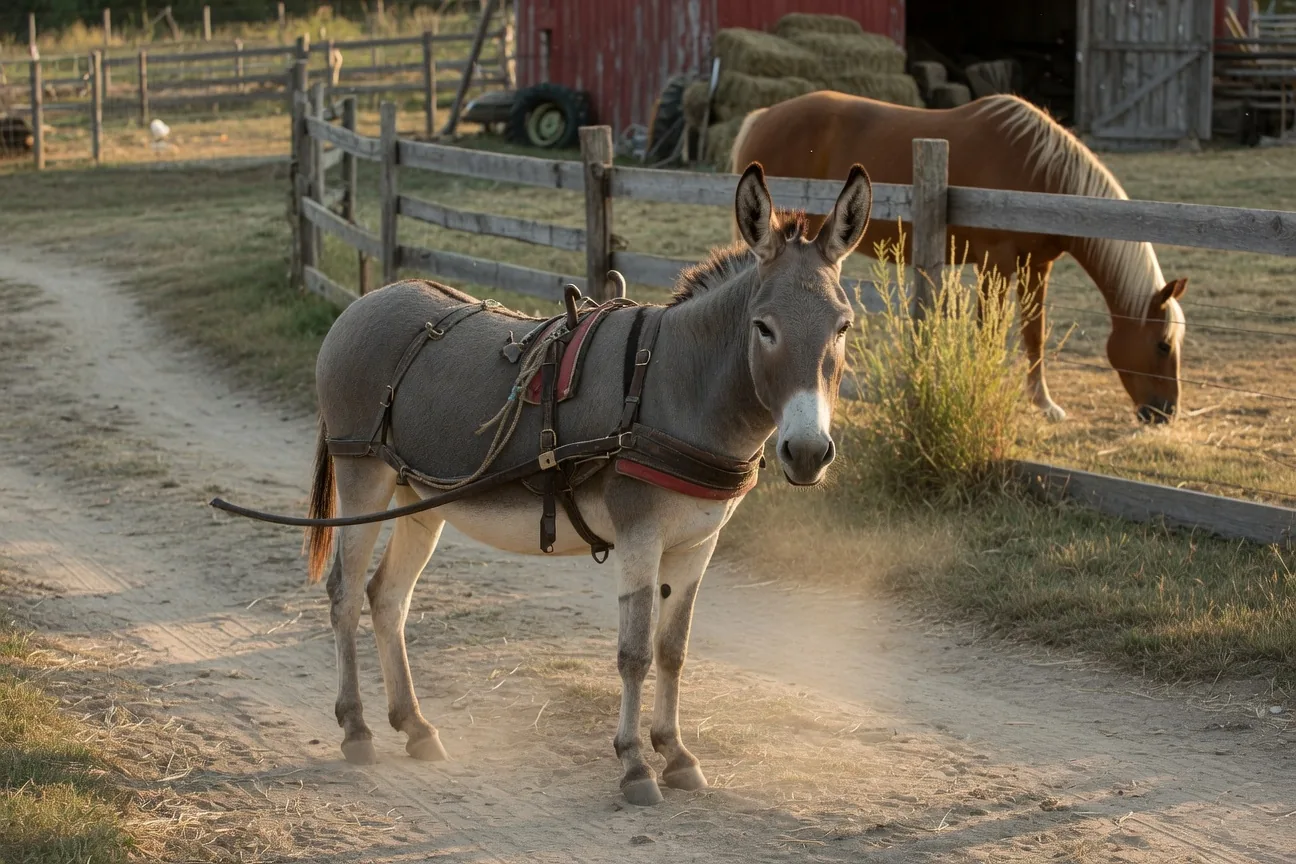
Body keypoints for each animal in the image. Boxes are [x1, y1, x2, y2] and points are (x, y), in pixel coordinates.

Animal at [300, 163, 873, 806]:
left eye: (843, 327)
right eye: (764, 328)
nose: (808, 453)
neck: (676, 387)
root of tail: (366, 301)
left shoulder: (698, 545)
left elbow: (673, 651)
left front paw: (676, 754)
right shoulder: (639, 535)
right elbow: (634, 653)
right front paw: (634, 765)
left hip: (418, 500)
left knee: (387, 597)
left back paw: (416, 727)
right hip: (363, 482)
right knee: (345, 593)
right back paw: (357, 729)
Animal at [731, 91, 1188, 424]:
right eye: (1163, 345)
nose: (1165, 413)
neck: (1041, 173)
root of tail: (762, 116)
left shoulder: (1036, 265)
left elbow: (1034, 332)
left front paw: (1044, 404)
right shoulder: (995, 264)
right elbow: (989, 331)